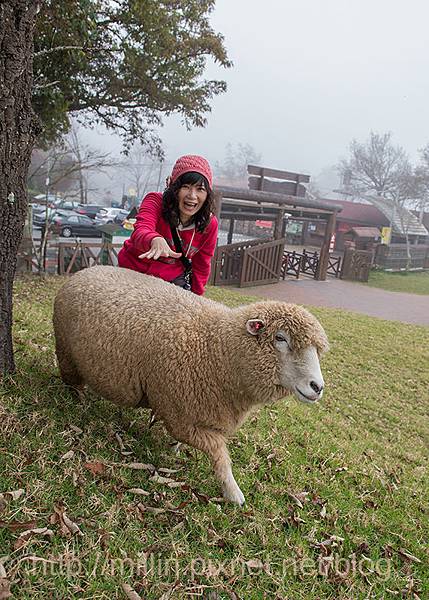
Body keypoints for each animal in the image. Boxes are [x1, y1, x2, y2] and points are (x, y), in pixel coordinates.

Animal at [53, 264, 328, 504]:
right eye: (281, 338)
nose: (318, 387)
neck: (217, 349)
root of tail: (86, 269)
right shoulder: (177, 414)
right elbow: (218, 451)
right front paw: (233, 492)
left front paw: (175, 448)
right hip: (66, 352)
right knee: (72, 383)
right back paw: (78, 403)